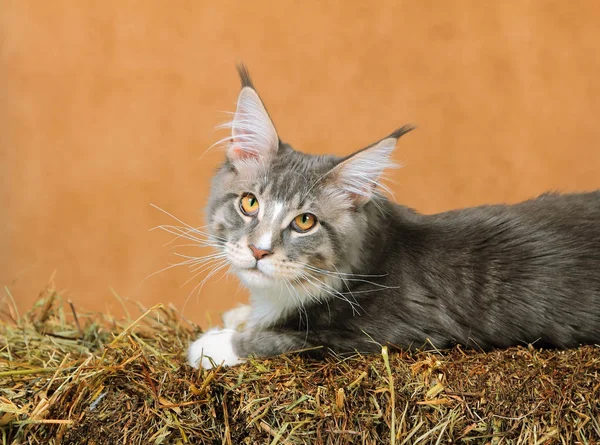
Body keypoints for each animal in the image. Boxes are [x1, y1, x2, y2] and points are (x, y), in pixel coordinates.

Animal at [188, 64, 600, 370]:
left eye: (305, 222)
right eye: (249, 203)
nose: (259, 252)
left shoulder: (394, 333)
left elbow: (285, 339)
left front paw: (215, 345)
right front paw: (240, 315)